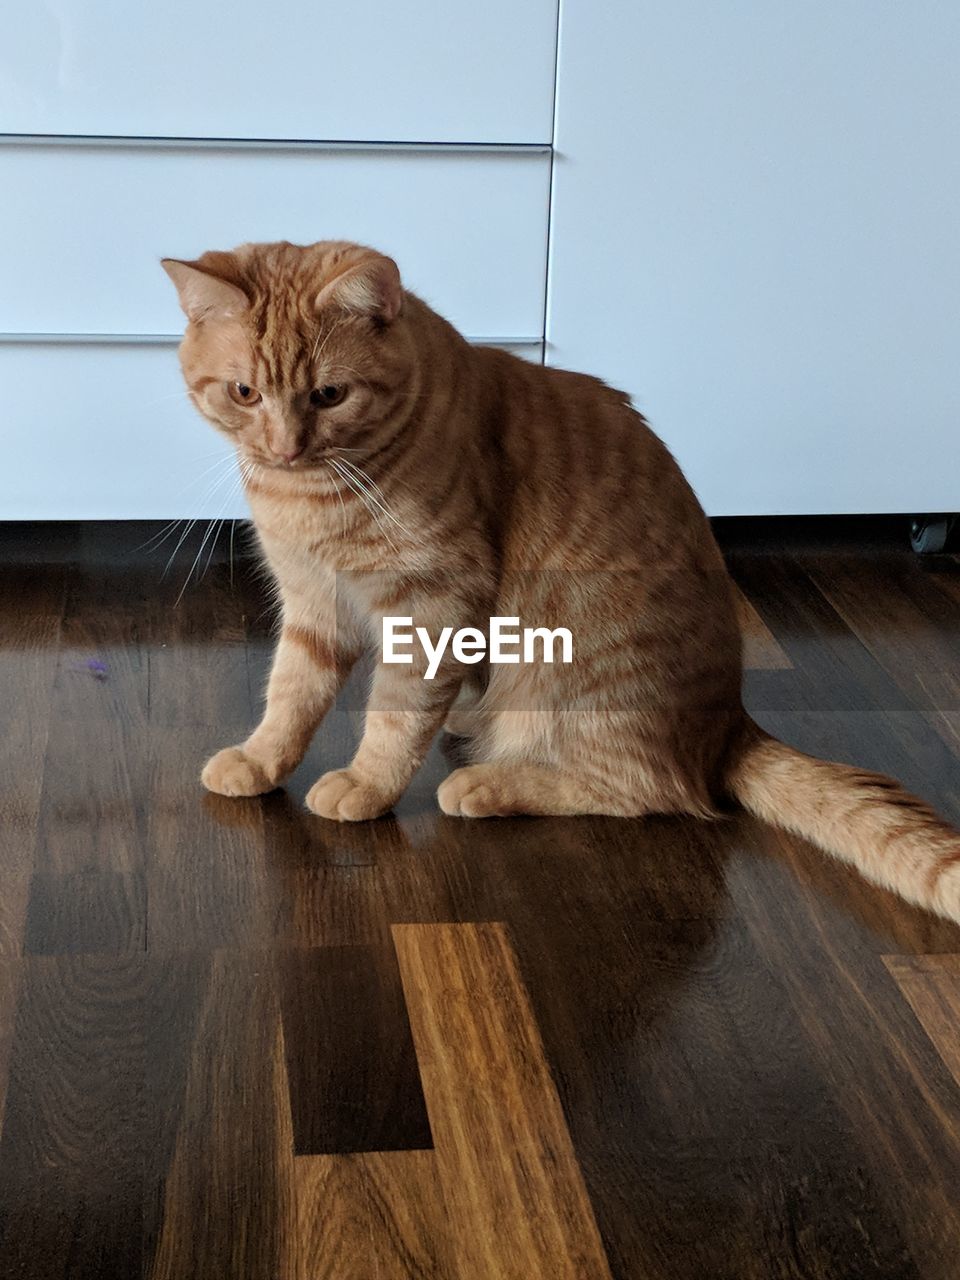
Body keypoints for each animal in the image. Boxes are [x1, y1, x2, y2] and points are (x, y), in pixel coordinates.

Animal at [161, 240, 957, 921]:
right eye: (243, 393)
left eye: (329, 395)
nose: (284, 449)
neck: (311, 495)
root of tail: (729, 722)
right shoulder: (312, 604)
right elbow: (291, 694)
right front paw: (262, 760)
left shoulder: (433, 602)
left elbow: (395, 712)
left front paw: (367, 785)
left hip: (570, 672)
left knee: (647, 790)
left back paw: (489, 781)